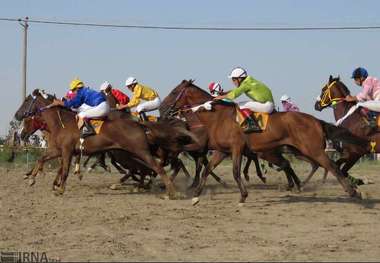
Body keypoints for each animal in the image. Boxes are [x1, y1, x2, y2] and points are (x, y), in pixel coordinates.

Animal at [14, 89, 196, 199]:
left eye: (26, 100)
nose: (16, 115)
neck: (61, 122)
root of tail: (139, 124)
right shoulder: (58, 150)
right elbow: (42, 159)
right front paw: (31, 178)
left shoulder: (66, 151)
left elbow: (64, 170)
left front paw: (59, 188)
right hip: (130, 153)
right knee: (147, 168)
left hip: (139, 151)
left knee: (156, 167)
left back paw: (172, 192)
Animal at [161, 80, 368, 206]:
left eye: (174, 92)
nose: (162, 109)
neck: (218, 117)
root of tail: (316, 120)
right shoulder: (222, 151)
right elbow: (206, 170)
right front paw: (196, 196)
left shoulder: (236, 148)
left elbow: (235, 172)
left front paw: (243, 196)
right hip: (296, 150)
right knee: (306, 164)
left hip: (311, 149)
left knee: (331, 166)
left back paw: (353, 192)